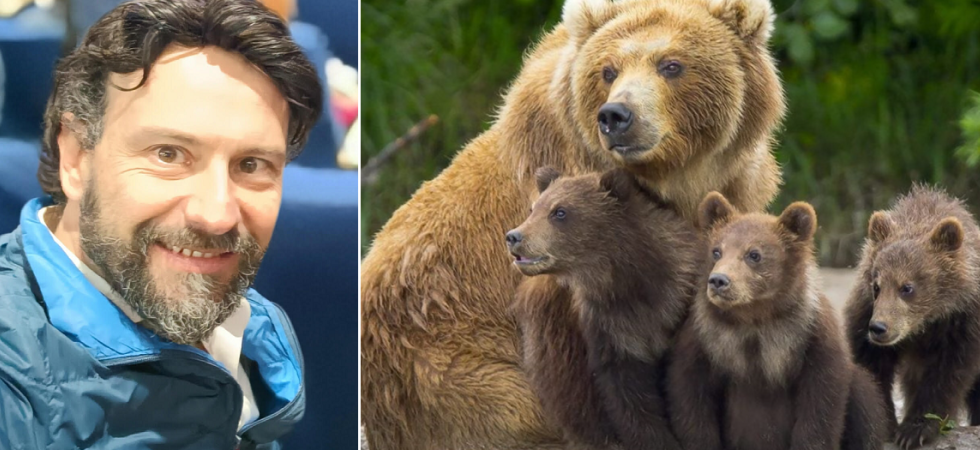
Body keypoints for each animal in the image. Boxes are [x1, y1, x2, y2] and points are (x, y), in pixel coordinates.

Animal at [667, 192, 888, 450]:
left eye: (754, 254)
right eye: (716, 251)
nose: (719, 280)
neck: (754, 317)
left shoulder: (810, 336)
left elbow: (822, 405)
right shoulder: (705, 338)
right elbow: (690, 399)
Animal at [843, 185, 980, 450]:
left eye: (907, 287)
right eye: (877, 285)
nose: (879, 328)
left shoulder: (963, 322)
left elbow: (948, 373)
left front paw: (915, 429)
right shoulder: (865, 311)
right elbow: (873, 365)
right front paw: (886, 422)